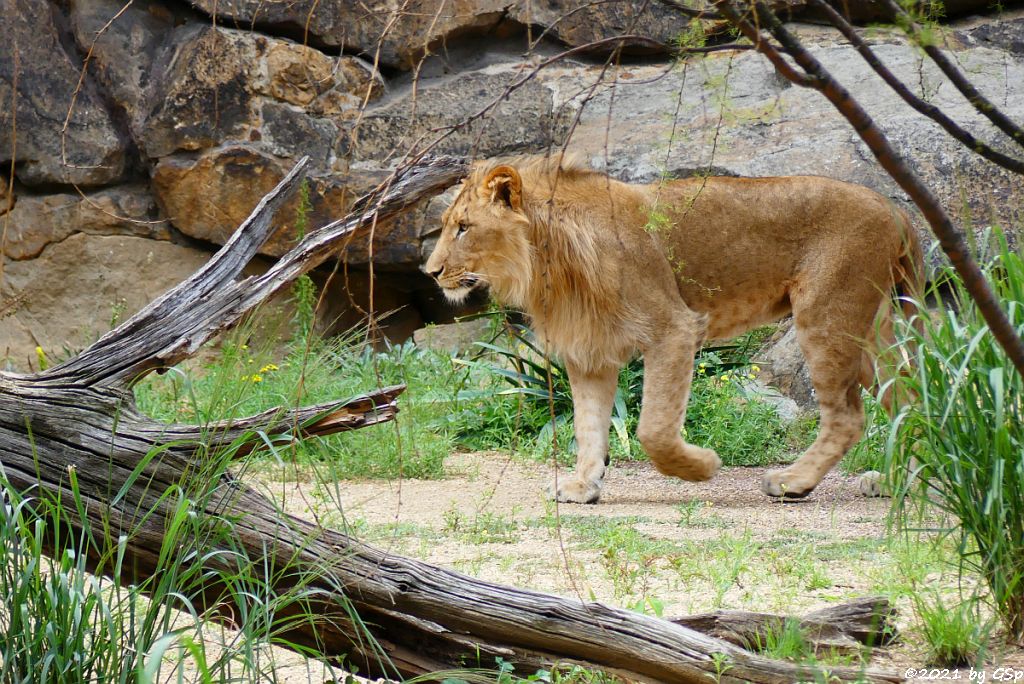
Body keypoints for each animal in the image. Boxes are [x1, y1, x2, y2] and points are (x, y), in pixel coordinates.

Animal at [428, 157, 925, 505]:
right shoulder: (590, 350)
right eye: (450, 226)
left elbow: (654, 428)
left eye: (464, 228)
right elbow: (589, 425)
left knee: (848, 416)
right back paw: (901, 481)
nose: (430, 272)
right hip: (870, 330)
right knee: (909, 396)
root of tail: (892, 207)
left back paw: (794, 482)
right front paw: (585, 484)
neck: (547, 259)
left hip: (827, 316)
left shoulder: (674, 329)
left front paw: (701, 467)